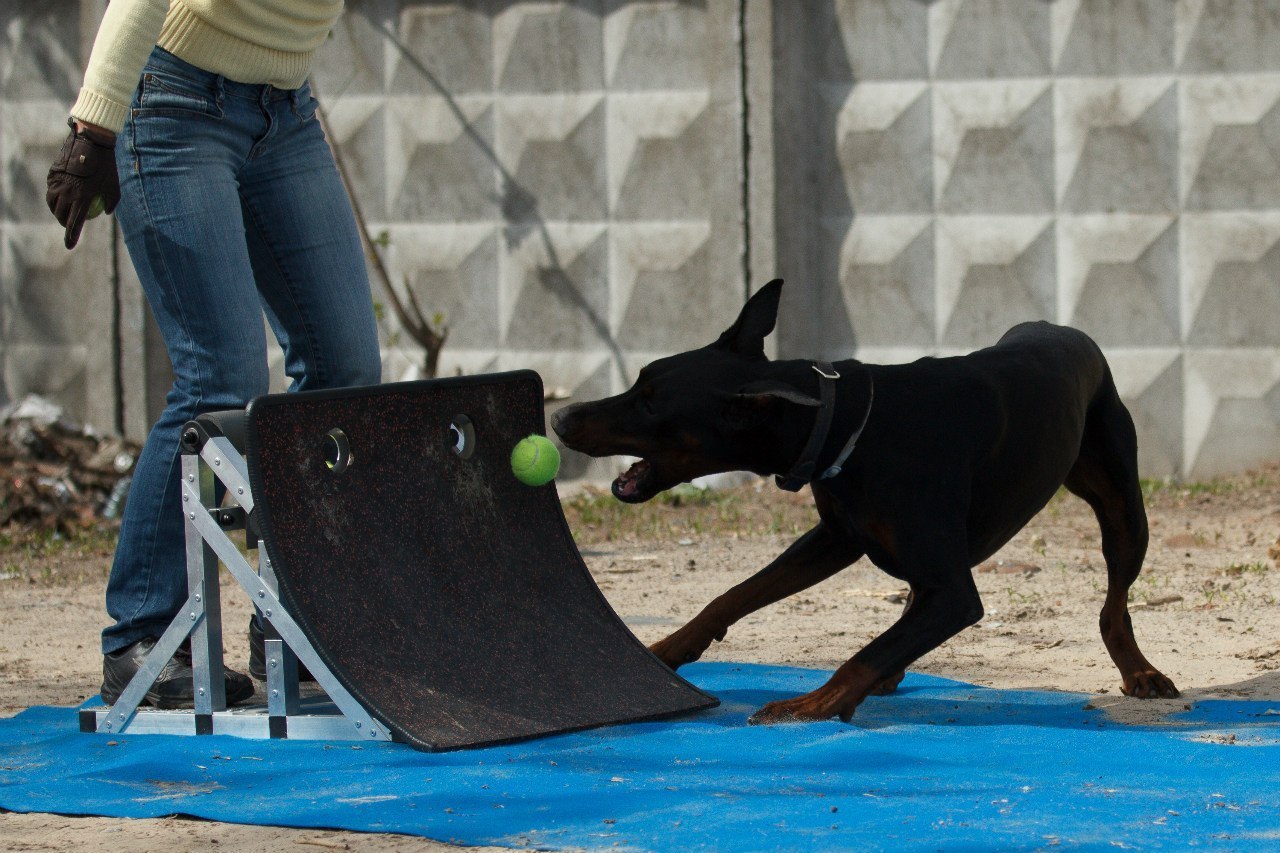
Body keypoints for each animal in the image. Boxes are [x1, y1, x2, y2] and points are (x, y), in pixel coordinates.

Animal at [552, 281, 1177, 722]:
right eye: (639, 381)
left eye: (650, 404)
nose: (559, 416)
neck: (846, 425)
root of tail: (1061, 327)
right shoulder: (836, 537)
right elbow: (734, 594)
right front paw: (662, 652)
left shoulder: (954, 594)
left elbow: (867, 652)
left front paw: (809, 704)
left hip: (1122, 508)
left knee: (1114, 604)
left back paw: (1140, 672)